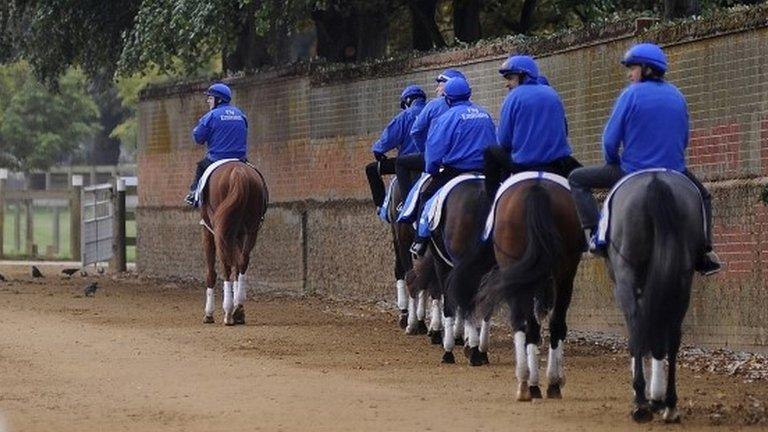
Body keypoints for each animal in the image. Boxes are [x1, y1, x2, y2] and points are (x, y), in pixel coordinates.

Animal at [201, 161, 268, 324]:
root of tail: (238, 171)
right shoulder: (238, 234)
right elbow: (237, 265)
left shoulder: (207, 230)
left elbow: (211, 272)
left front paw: (209, 314)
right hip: (250, 230)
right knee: (242, 261)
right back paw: (238, 309)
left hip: (221, 233)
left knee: (225, 265)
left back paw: (228, 311)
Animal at [456, 176, 584, 402]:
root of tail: (536, 189)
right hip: (563, 274)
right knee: (554, 324)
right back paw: (547, 383)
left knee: (522, 322)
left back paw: (527, 382)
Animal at [604, 170, 704, 424]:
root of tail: (656, 180)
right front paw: (657, 399)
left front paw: (646, 395)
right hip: (681, 283)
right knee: (672, 337)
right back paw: (669, 404)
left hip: (627, 278)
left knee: (637, 328)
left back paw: (641, 401)